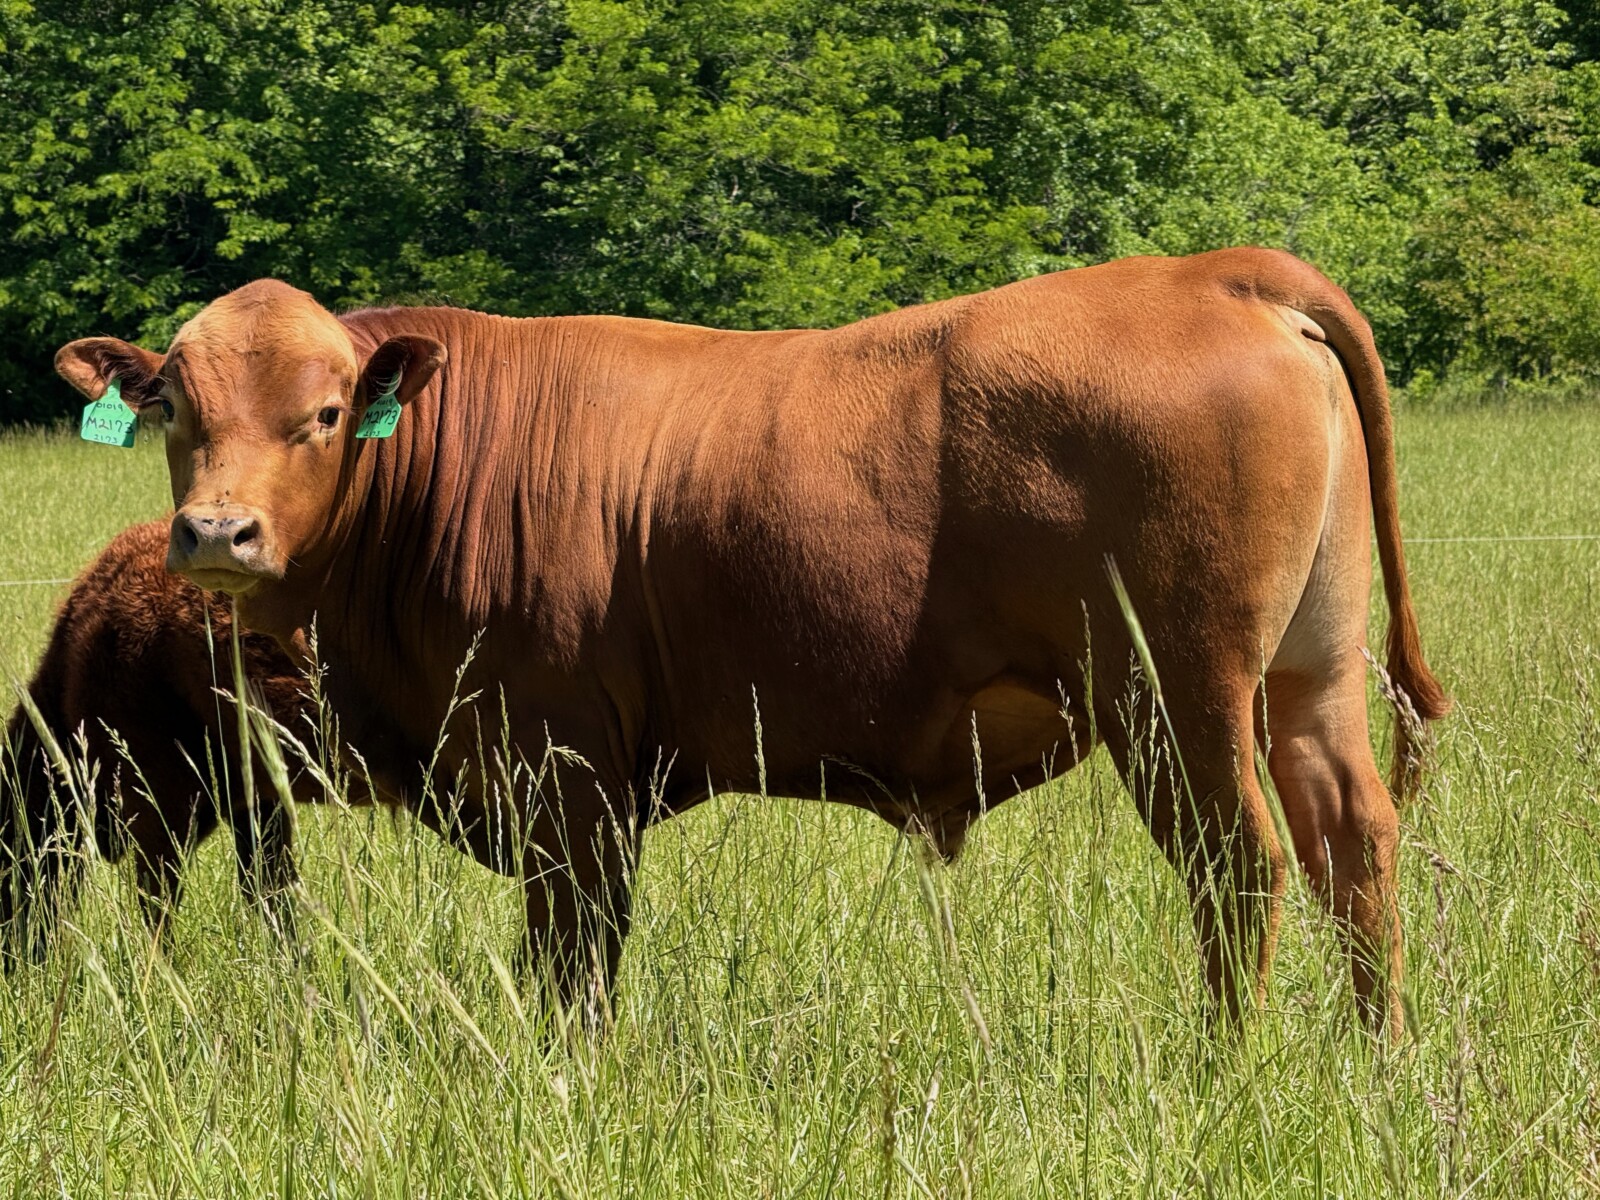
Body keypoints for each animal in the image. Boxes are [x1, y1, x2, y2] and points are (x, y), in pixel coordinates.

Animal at [1, 521, 311, 960]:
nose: (17, 955)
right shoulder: (255, 793)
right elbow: (269, 887)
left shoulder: (159, 796)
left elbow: (157, 901)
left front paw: (158, 971)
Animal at [55, 247, 1447, 1037]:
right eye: (175, 404)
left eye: (328, 413)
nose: (216, 533)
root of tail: (1217, 268)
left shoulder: (564, 768)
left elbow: (572, 953)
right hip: (1307, 675)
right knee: (1351, 842)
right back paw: (1372, 1063)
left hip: (1178, 696)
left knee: (1241, 865)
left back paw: (1228, 1068)